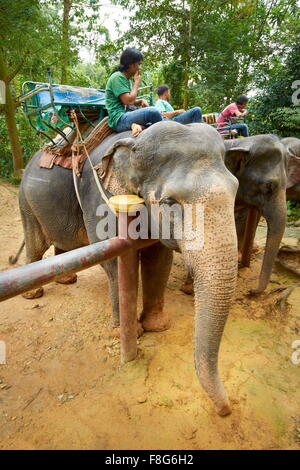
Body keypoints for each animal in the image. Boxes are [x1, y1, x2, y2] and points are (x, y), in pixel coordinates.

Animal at [18, 121, 239, 414]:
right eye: (170, 202)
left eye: (236, 190)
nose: (225, 409)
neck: (135, 141)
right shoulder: (100, 195)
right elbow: (111, 257)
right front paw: (127, 331)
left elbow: (159, 257)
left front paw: (157, 326)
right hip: (26, 202)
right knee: (35, 243)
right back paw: (33, 295)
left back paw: (67, 281)